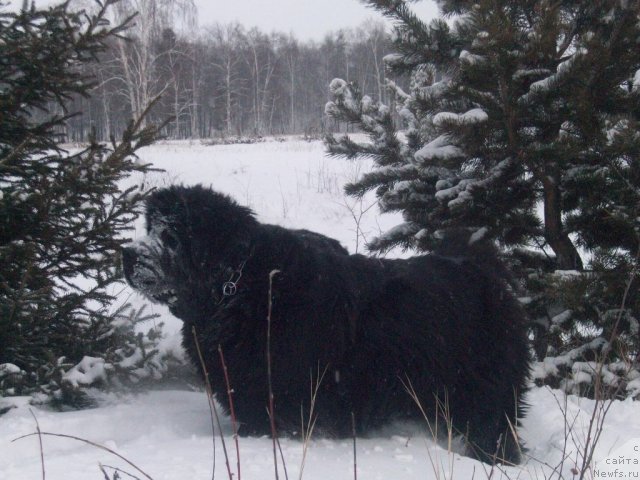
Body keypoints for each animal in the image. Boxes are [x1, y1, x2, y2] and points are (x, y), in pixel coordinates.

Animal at [124, 185, 528, 464]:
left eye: (171, 238)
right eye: (149, 229)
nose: (127, 254)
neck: (241, 288)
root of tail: (488, 273)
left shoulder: (286, 400)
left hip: (486, 394)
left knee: (493, 432)